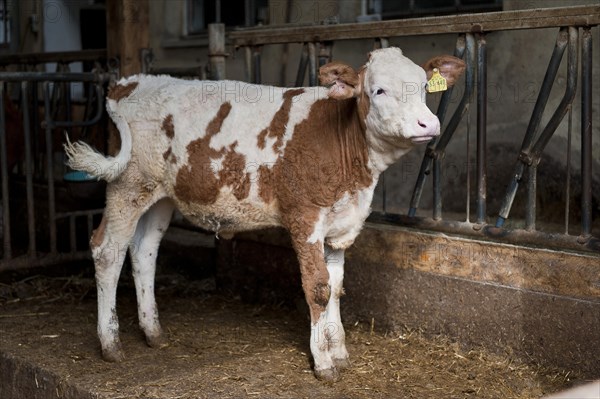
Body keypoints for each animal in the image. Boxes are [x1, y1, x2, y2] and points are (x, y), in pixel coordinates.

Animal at [67, 47, 468, 382]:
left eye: (424, 87)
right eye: (379, 90)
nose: (428, 124)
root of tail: (130, 82)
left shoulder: (341, 225)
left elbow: (337, 288)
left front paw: (339, 351)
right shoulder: (305, 218)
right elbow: (318, 288)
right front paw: (323, 363)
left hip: (162, 196)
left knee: (144, 251)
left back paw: (153, 332)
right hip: (128, 184)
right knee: (108, 251)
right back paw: (111, 344)